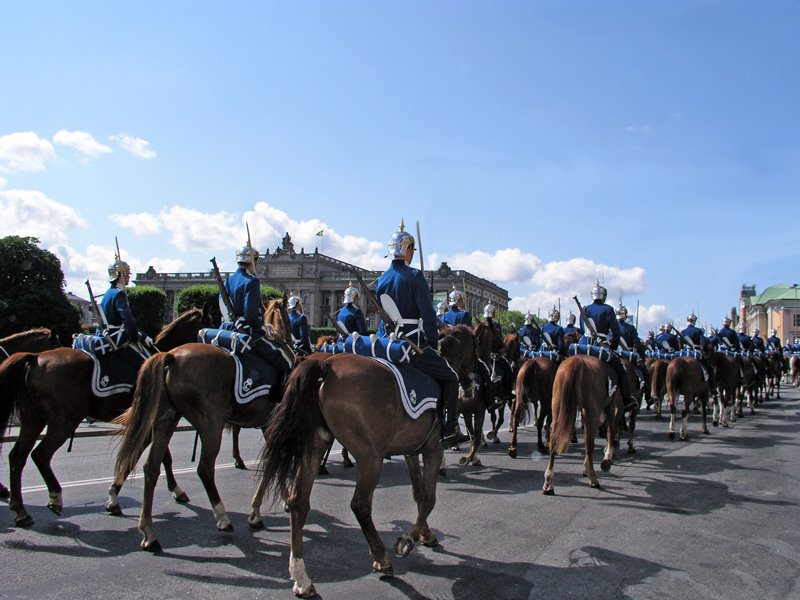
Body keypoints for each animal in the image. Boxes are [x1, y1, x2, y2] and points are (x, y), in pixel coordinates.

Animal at [0, 308, 212, 528]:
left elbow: (162, 457)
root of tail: (34, 358)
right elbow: (150, 457)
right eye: (211, 321)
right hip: (63, 422)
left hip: (33, 420)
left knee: (17, 457)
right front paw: (116, 496)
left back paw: (20, 510)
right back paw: (54, 497)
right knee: (40, 455)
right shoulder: (149, 422)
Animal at [258, 324, 482, 596]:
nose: (471, 385)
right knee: (360, 505)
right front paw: (407, 541)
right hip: (370, 458)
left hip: (314, 448)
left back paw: (302, 577)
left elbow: (419, 495)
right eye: (475, 346)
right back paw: (381, 557)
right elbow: (429, 499)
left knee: (298, 502)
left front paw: (425, 534)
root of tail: (325, 363)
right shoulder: (433, 450)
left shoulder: (411, 450)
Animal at [540, 354, 620, 494]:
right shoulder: (610, 406)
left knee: (554, 440)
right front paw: (606, 460)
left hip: (557, 407)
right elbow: (610, 432)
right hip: (592, 410)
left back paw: (549, 483)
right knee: (589, 444)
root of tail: (576, 362)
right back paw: (593, 479)